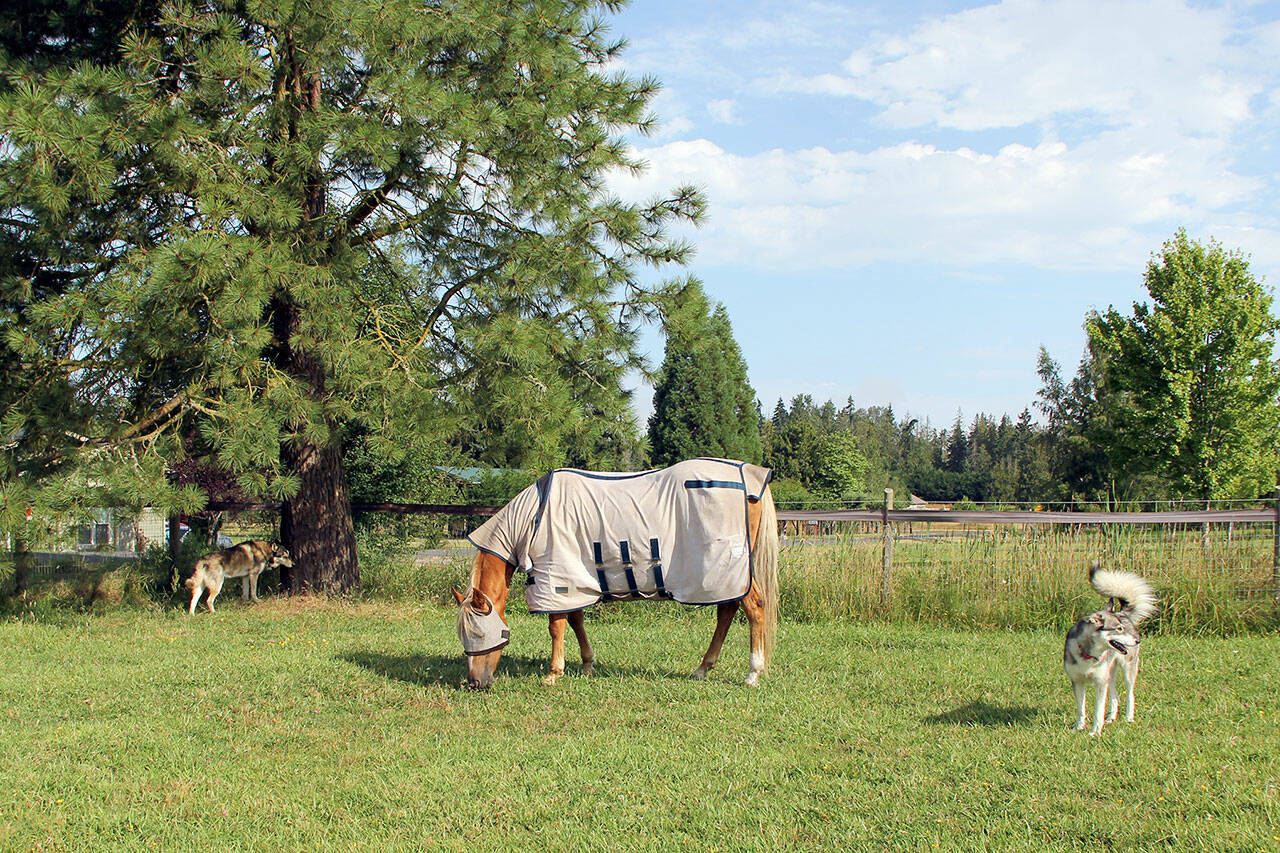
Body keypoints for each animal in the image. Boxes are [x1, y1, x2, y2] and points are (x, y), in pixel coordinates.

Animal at [452, 458, 779, 690]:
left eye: (482, 632)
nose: (475, 683)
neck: (534, 518)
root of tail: (751, 475)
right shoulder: (575, 581)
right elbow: (576, 621)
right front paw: (586, 664)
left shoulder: (556, 580)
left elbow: (557, 627)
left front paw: (553, 673)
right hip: (724, 578)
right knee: (727, 612)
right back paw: (703, 668)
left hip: (730, 572)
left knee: (754, 608)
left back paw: (752, 673)